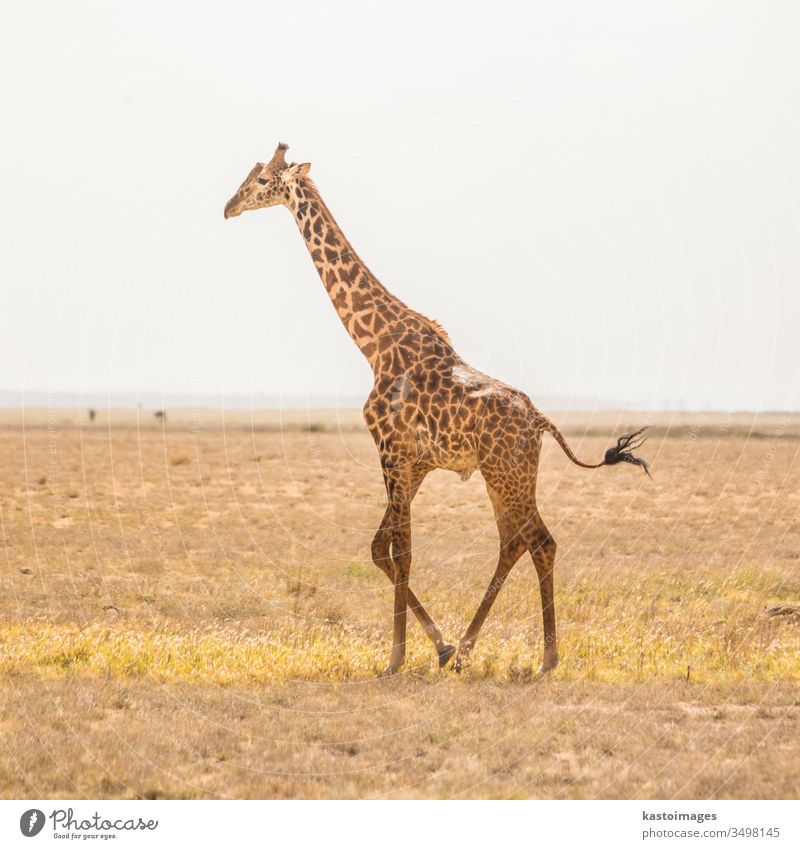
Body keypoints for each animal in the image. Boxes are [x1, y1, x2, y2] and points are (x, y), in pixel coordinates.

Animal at [222, 144, 648, 676]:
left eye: (261, 180)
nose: (229, 206)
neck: (375, 345)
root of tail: (541, 423)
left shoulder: (391, 452)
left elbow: (401, 551)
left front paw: (395, 658)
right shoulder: (414, 463)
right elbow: (380, 549)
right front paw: (438, 647)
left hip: (507, 474)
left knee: (539, 541)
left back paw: (546, 657)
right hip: (501, 476)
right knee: (514, 541)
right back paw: (467, 650)